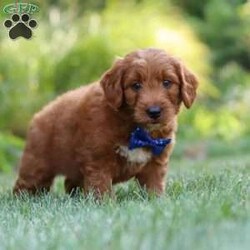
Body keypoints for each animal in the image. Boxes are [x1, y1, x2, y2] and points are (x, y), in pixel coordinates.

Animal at [13, 48, 198, 197]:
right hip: (37, 164)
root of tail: (39, 114)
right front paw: (106, 205)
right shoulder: (98, 160)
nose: (154, 112)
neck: (136, 128)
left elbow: (154, 186)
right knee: (25, 184)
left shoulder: (155, 162)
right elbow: (101, 187)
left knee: (70, 183)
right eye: (135, 85)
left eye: (167, 82)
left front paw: (157, 201)